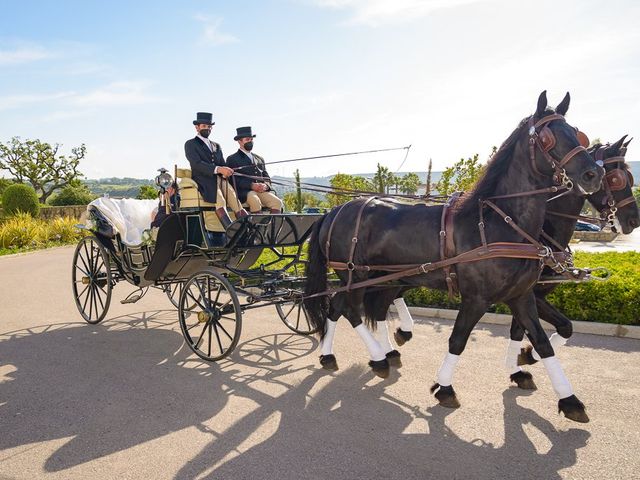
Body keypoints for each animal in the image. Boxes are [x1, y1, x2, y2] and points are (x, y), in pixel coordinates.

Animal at [302, 92, 604, 422]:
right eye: (549, 138)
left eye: (576, 132)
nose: (594, 174)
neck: (500, 221)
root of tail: (333, 210)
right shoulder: (476, 298)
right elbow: (458, 340)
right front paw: (445, 387)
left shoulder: (522, 296)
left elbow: (542, 341)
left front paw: (567, 397)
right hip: (355, 275)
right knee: (347, 309)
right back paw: (374, 357)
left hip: (377, 278)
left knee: (343, 309)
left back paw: (343, 355)